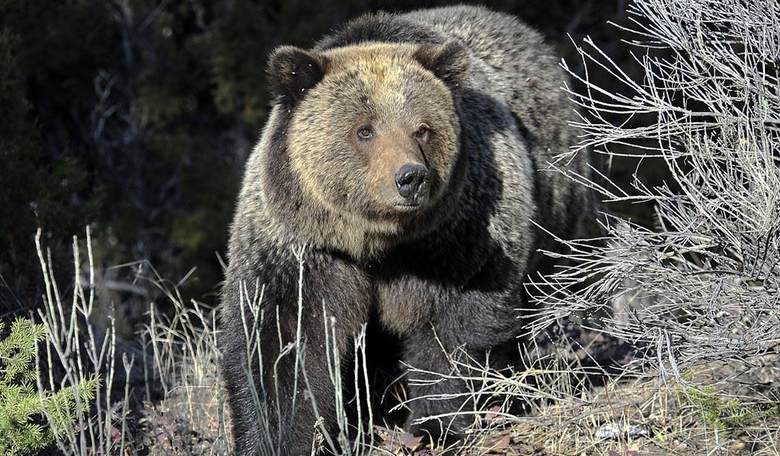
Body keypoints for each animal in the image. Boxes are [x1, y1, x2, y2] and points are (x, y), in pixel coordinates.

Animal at [219, 5, 590, 455]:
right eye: (364, 130)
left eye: (423, 128)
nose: (410, 177)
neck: (376, 242)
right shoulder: (303, 248)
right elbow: (283, 344)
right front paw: (278, 436)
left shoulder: (458, 238)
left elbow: (454, 331)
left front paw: (437, 427)